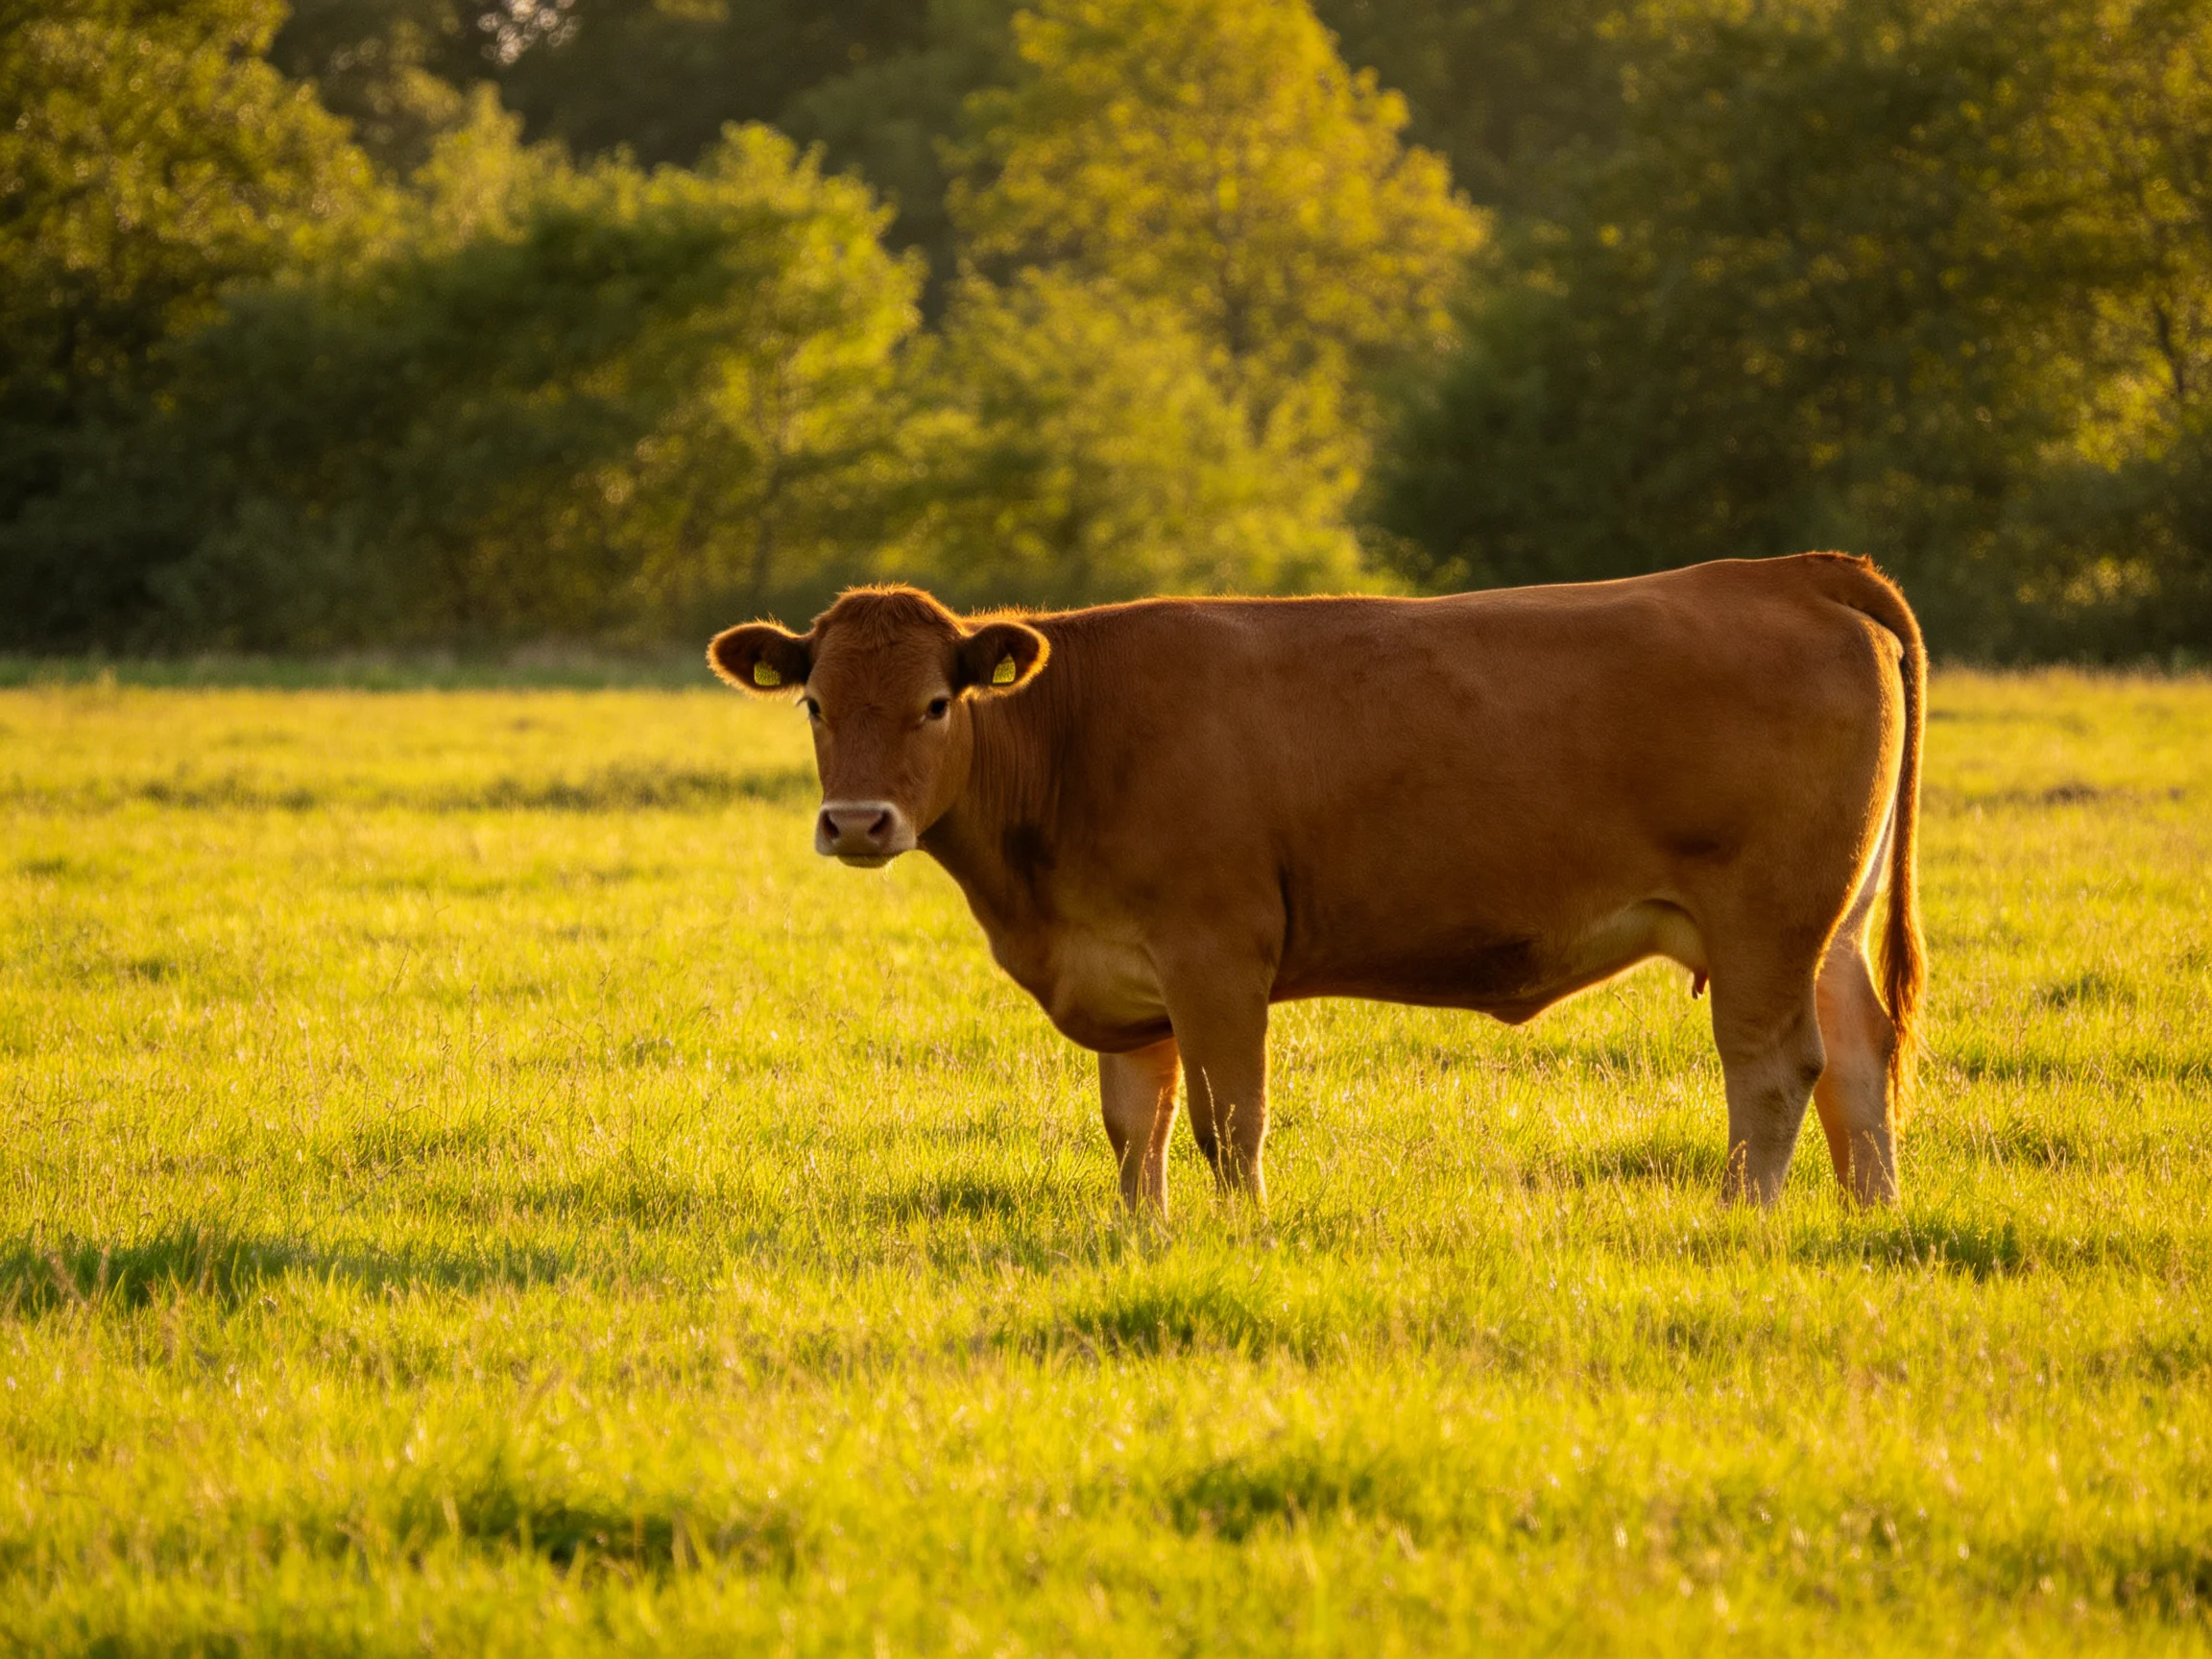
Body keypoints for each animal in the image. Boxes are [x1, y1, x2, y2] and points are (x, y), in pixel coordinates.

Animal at [709, 553, 1925, 1215]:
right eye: (815, 703)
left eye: (935, 704)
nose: (857, 823)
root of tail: (1787, 571)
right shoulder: (1128, 976)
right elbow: (1133, 1124)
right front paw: (1142, 1237)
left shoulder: (1215, 953)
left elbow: (1225, 1119)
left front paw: (1240, 1229)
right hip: (1828, 922)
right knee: (1858, 1056)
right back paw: (1866, 1216)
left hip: (1766, 915)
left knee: (1772, 1069)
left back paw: (1738, 1217)